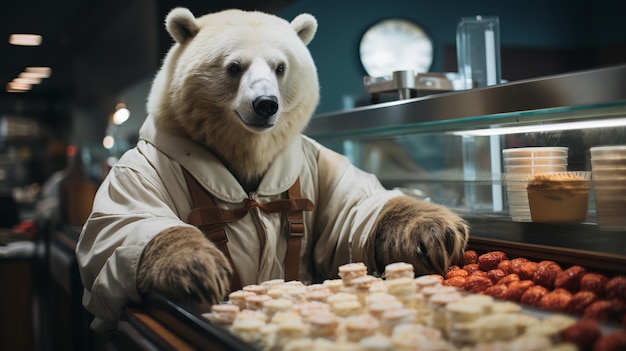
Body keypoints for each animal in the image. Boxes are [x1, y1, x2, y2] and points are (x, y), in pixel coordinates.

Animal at [75, 6, 466, 334]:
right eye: (234, 66)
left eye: (280, 67)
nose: (265, 104)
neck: (246, 153)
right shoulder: (150, 165)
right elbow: (128, 221)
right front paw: (195, 268)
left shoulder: (308, 163)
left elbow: (352, 209)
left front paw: (436, 232)